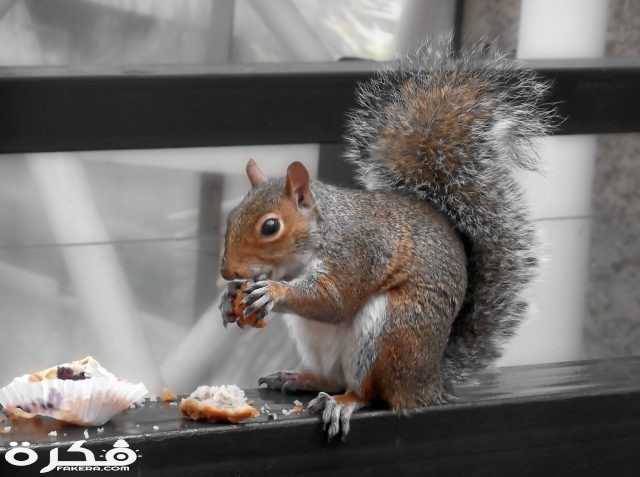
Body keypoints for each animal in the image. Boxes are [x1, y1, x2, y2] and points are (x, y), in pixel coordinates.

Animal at [219, 38, 552, 440]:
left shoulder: (358, 251)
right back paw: (300, 378)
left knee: (369, 392)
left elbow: (334, 300)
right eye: (232, 216)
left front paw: (272, 293)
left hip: (392, 333)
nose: (227, 272)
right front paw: (229, 300)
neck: (321, 233)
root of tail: (427, 382)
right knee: (332, 377)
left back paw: (344, 402)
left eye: (270, 227)